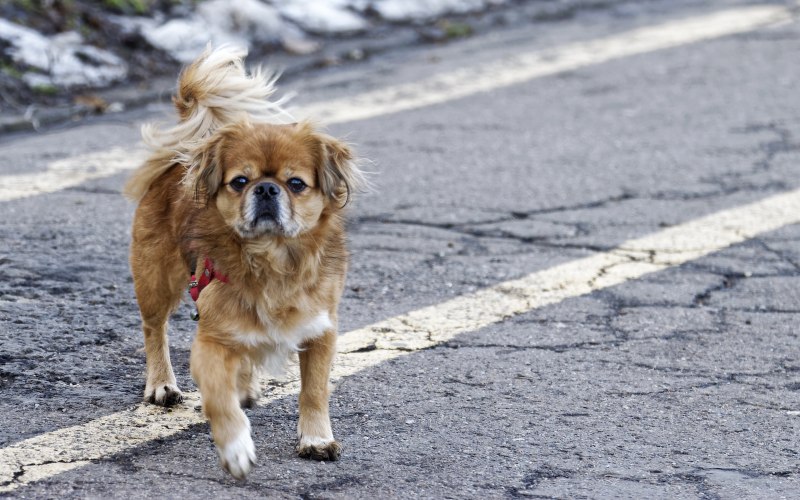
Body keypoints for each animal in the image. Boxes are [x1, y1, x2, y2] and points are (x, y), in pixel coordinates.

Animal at [125, 46, 366, 476]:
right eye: (239, 181)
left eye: (296, 183)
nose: (266, 189)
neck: (271, 260)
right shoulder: (211, 342)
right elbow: (219, 400)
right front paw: (236, 446)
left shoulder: (320, 332)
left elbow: (314, 391)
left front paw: (317, 439)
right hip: (156, 281)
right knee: (155, 329)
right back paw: (162, 384)